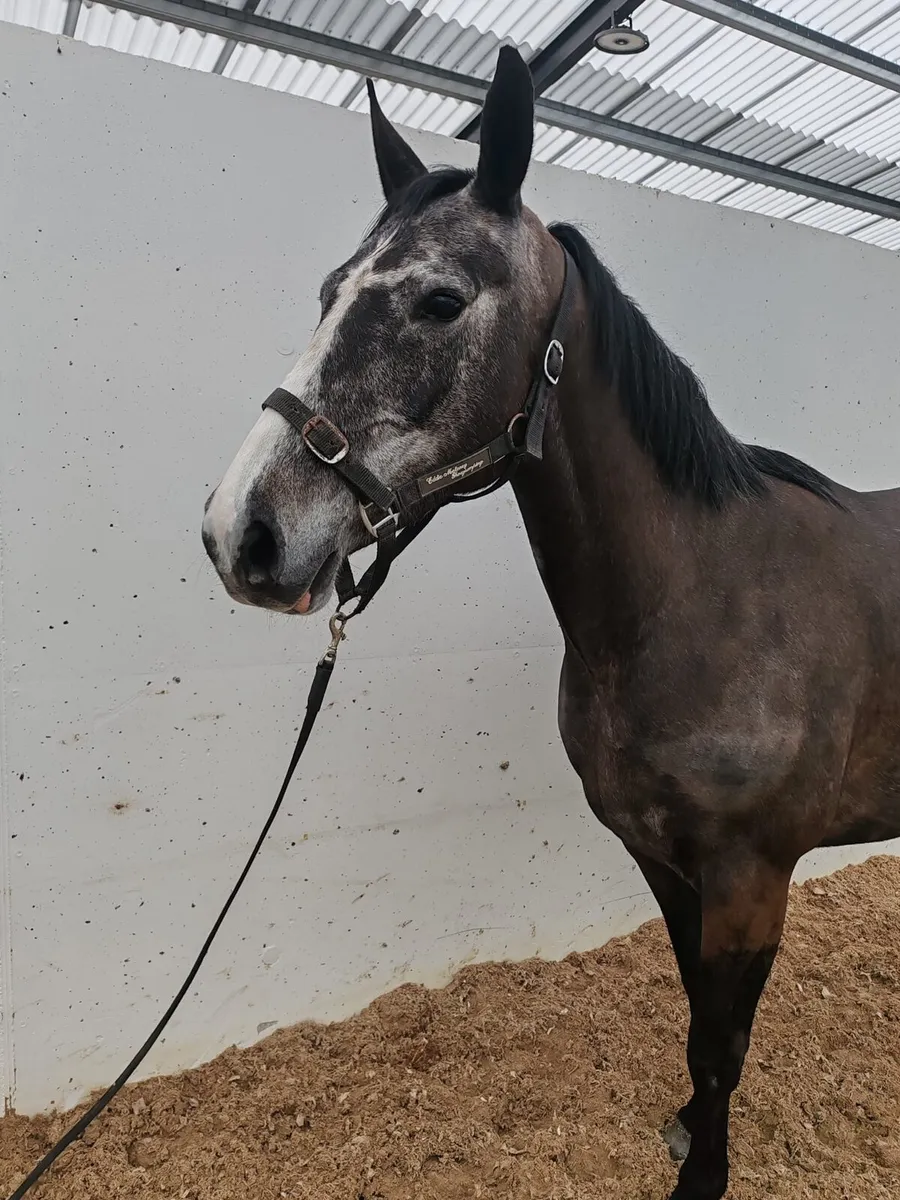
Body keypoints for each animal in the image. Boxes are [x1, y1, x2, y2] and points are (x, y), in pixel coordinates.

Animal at [201, 46, 900, 1200]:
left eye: (440, 300)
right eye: (329, 293)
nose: (239, 533)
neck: (698, 597)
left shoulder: (752, 876)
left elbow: (722, 1041)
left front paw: (704, 1173)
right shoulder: (663, 862)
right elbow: (702, 1024)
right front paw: (688, 1130)